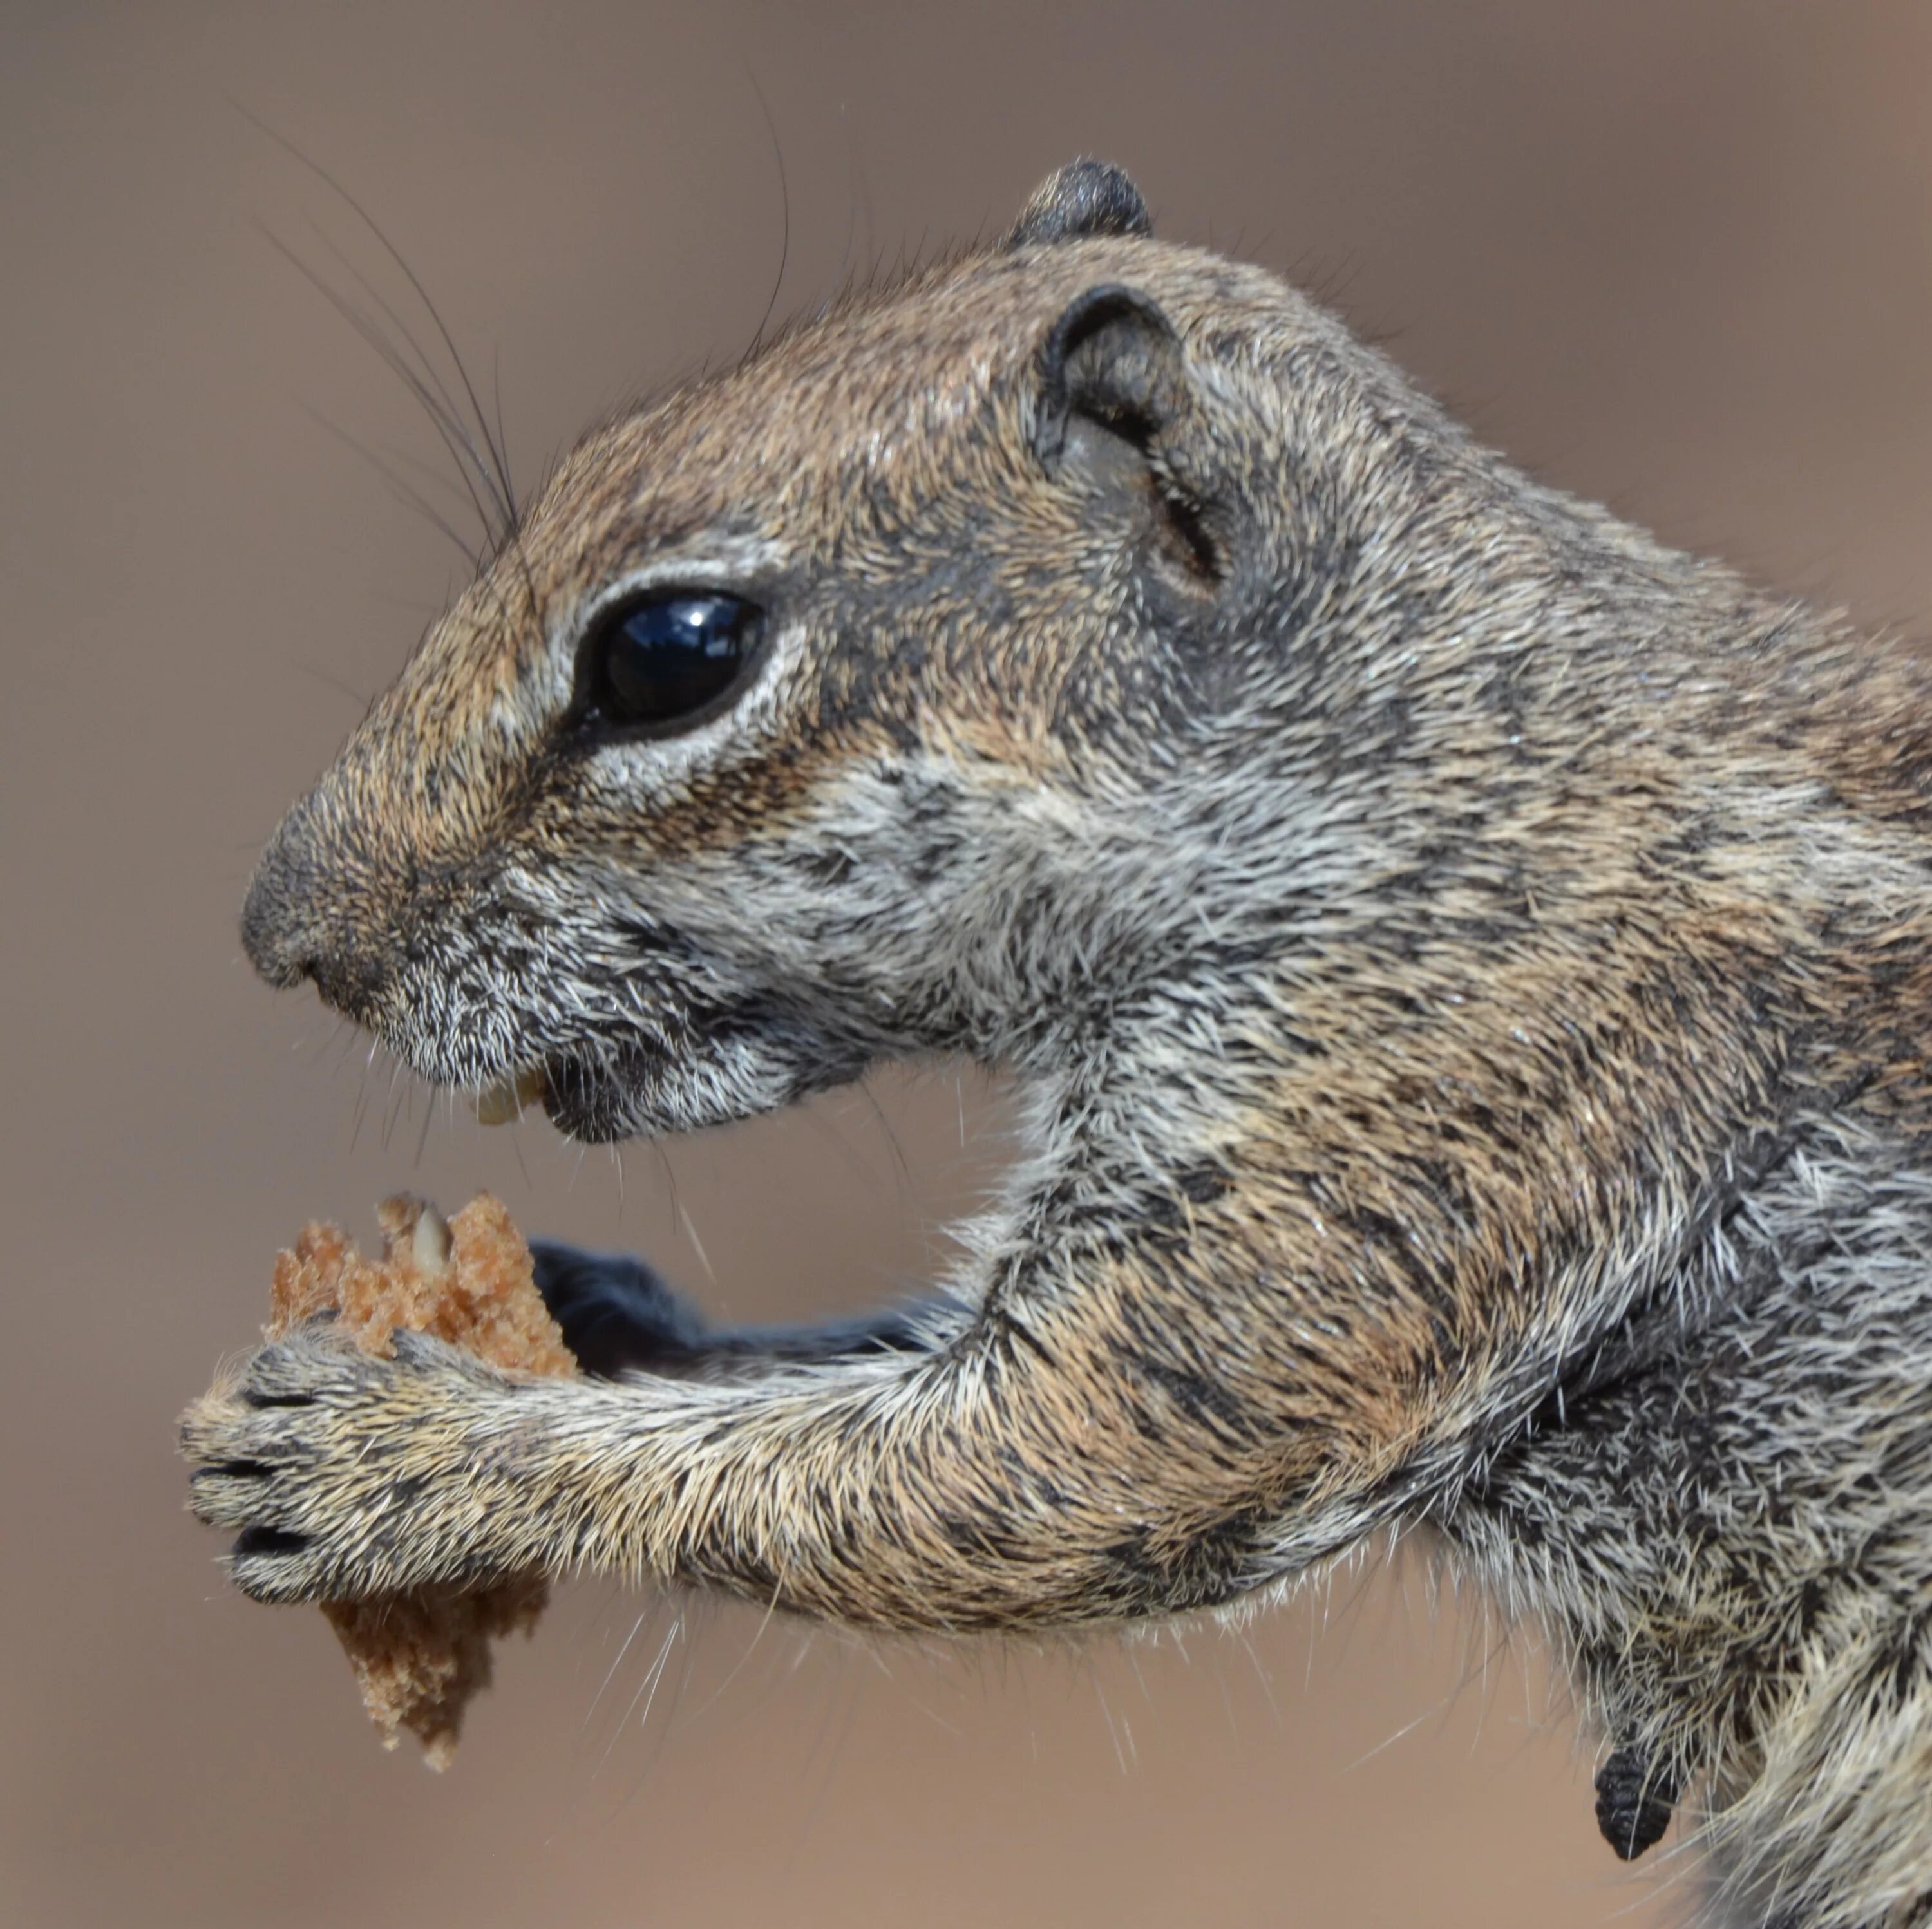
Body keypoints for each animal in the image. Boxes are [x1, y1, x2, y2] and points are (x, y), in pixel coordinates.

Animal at [188, 165, 1932, 1929]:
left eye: (670, 650)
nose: (281, 937)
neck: (1411, 742)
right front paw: (596, 1315)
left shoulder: (1397, 1109)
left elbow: (1012, 1466)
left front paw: (398, 1460)